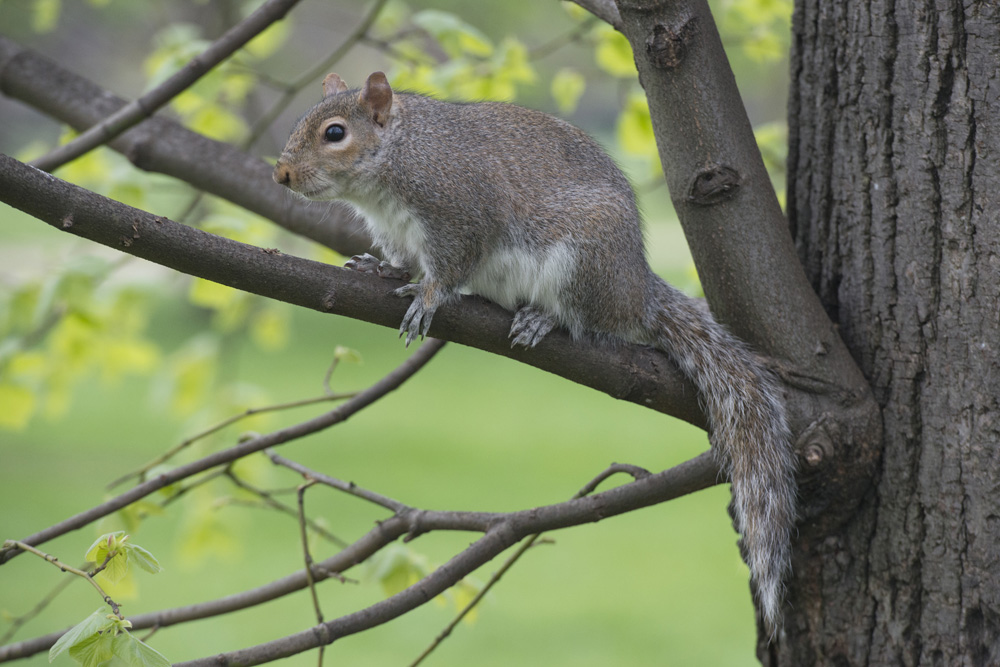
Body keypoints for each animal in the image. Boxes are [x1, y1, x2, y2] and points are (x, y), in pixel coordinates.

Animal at [272, 73, 796, 632]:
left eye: (335, 133)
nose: (281, 173)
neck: (399, 156)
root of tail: (636, 290)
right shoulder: (398, 232)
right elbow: (401, 261)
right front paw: (381, 269)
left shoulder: (458, 211)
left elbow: (452, 266)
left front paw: (429, 297)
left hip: (582, 261)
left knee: (589, 319)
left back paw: (544, 318)